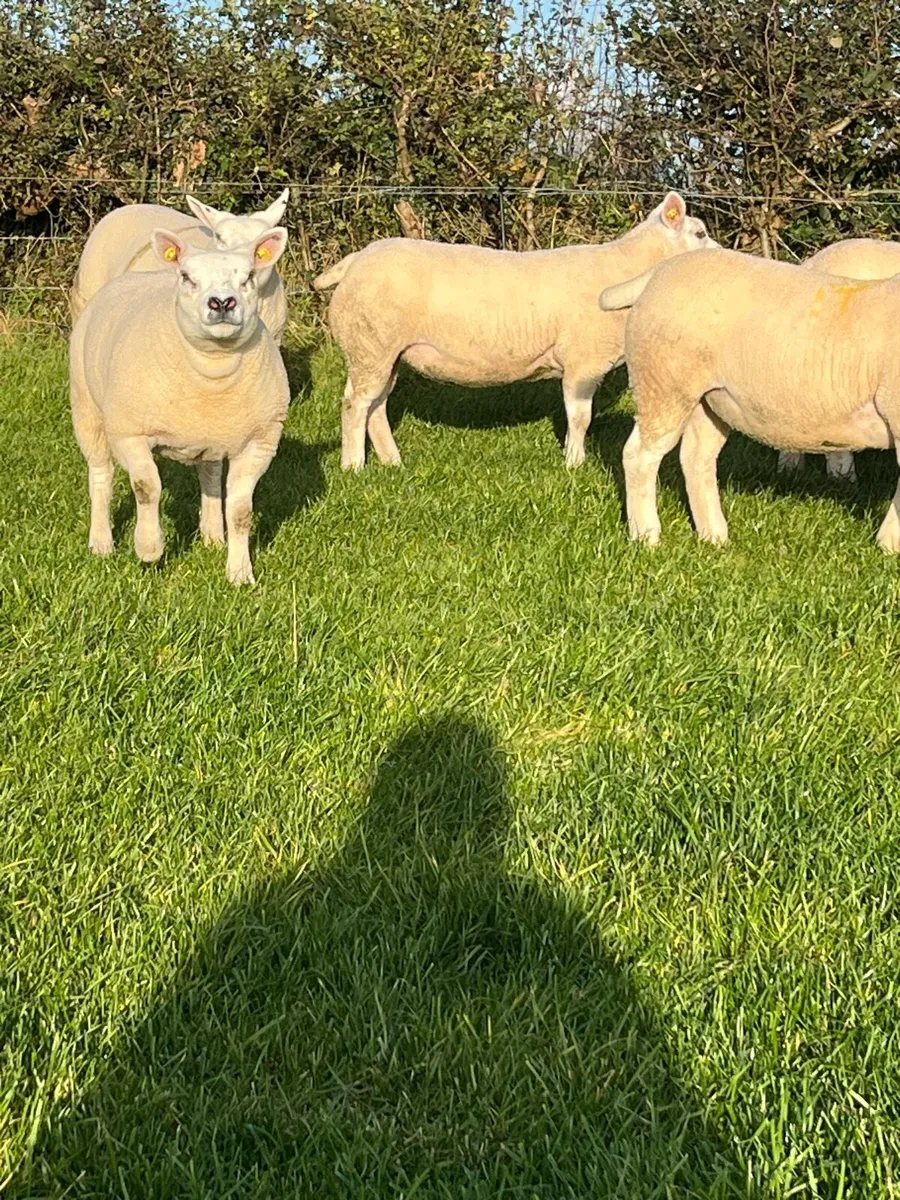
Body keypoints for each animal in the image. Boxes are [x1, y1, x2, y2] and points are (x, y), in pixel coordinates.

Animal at [70, 226, 289, 584]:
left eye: (248, 277)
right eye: (187, 277)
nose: (222, 303)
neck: (214, 368)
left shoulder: (259, 443)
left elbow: (240, 512)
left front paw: (240, 573)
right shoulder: (129, 434)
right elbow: (147, 488)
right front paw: (149, 549)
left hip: (213, 437)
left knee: (210, 475)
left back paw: (213, 536)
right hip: (87, 408)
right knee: (101, 475)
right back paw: (101, 542)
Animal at [312, 193, 713, 472]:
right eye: (699, 233)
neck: (627, 270)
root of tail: (354, 261)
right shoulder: (583, 361)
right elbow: (580, 417)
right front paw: (575, 463)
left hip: (384, 352)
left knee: (375, 405)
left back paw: (392, 461)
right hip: (370, 345)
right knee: (355, 404)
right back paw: (353, 466)